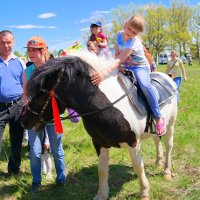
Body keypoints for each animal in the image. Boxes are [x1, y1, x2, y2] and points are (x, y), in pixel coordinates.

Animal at [20, 52, 177, 200]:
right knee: (157, 140)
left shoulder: (133, 143)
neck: (105, 106)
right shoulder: (99, 143)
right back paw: (158, 162)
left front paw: (144, 192)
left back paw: (167, 171)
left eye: (40, 93)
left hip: (170, 125)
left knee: (169, 145)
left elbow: (138, 167)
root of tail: (168, 78)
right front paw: (101, 194)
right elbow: (102, 170)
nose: (23, 120)